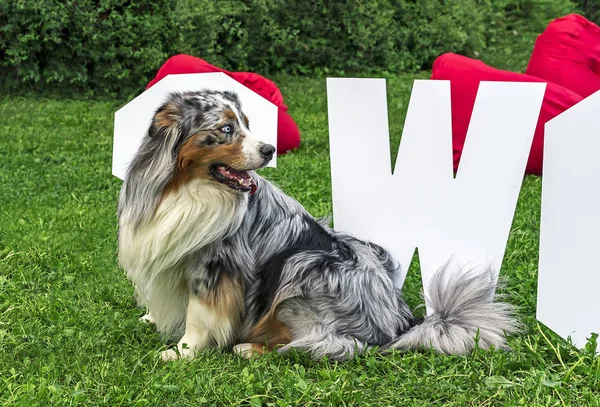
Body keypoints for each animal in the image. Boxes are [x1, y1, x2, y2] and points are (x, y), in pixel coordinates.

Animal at [116, 88, 516, 360]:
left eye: (247, 125)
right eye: (226, 128)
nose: (270, 150)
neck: (187, 189)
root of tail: (401, 321)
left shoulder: (216, 265)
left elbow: (200, 316)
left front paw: (183, 352)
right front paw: (151, 318)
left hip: (303, 266)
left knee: (332, 343)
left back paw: (249, 347)